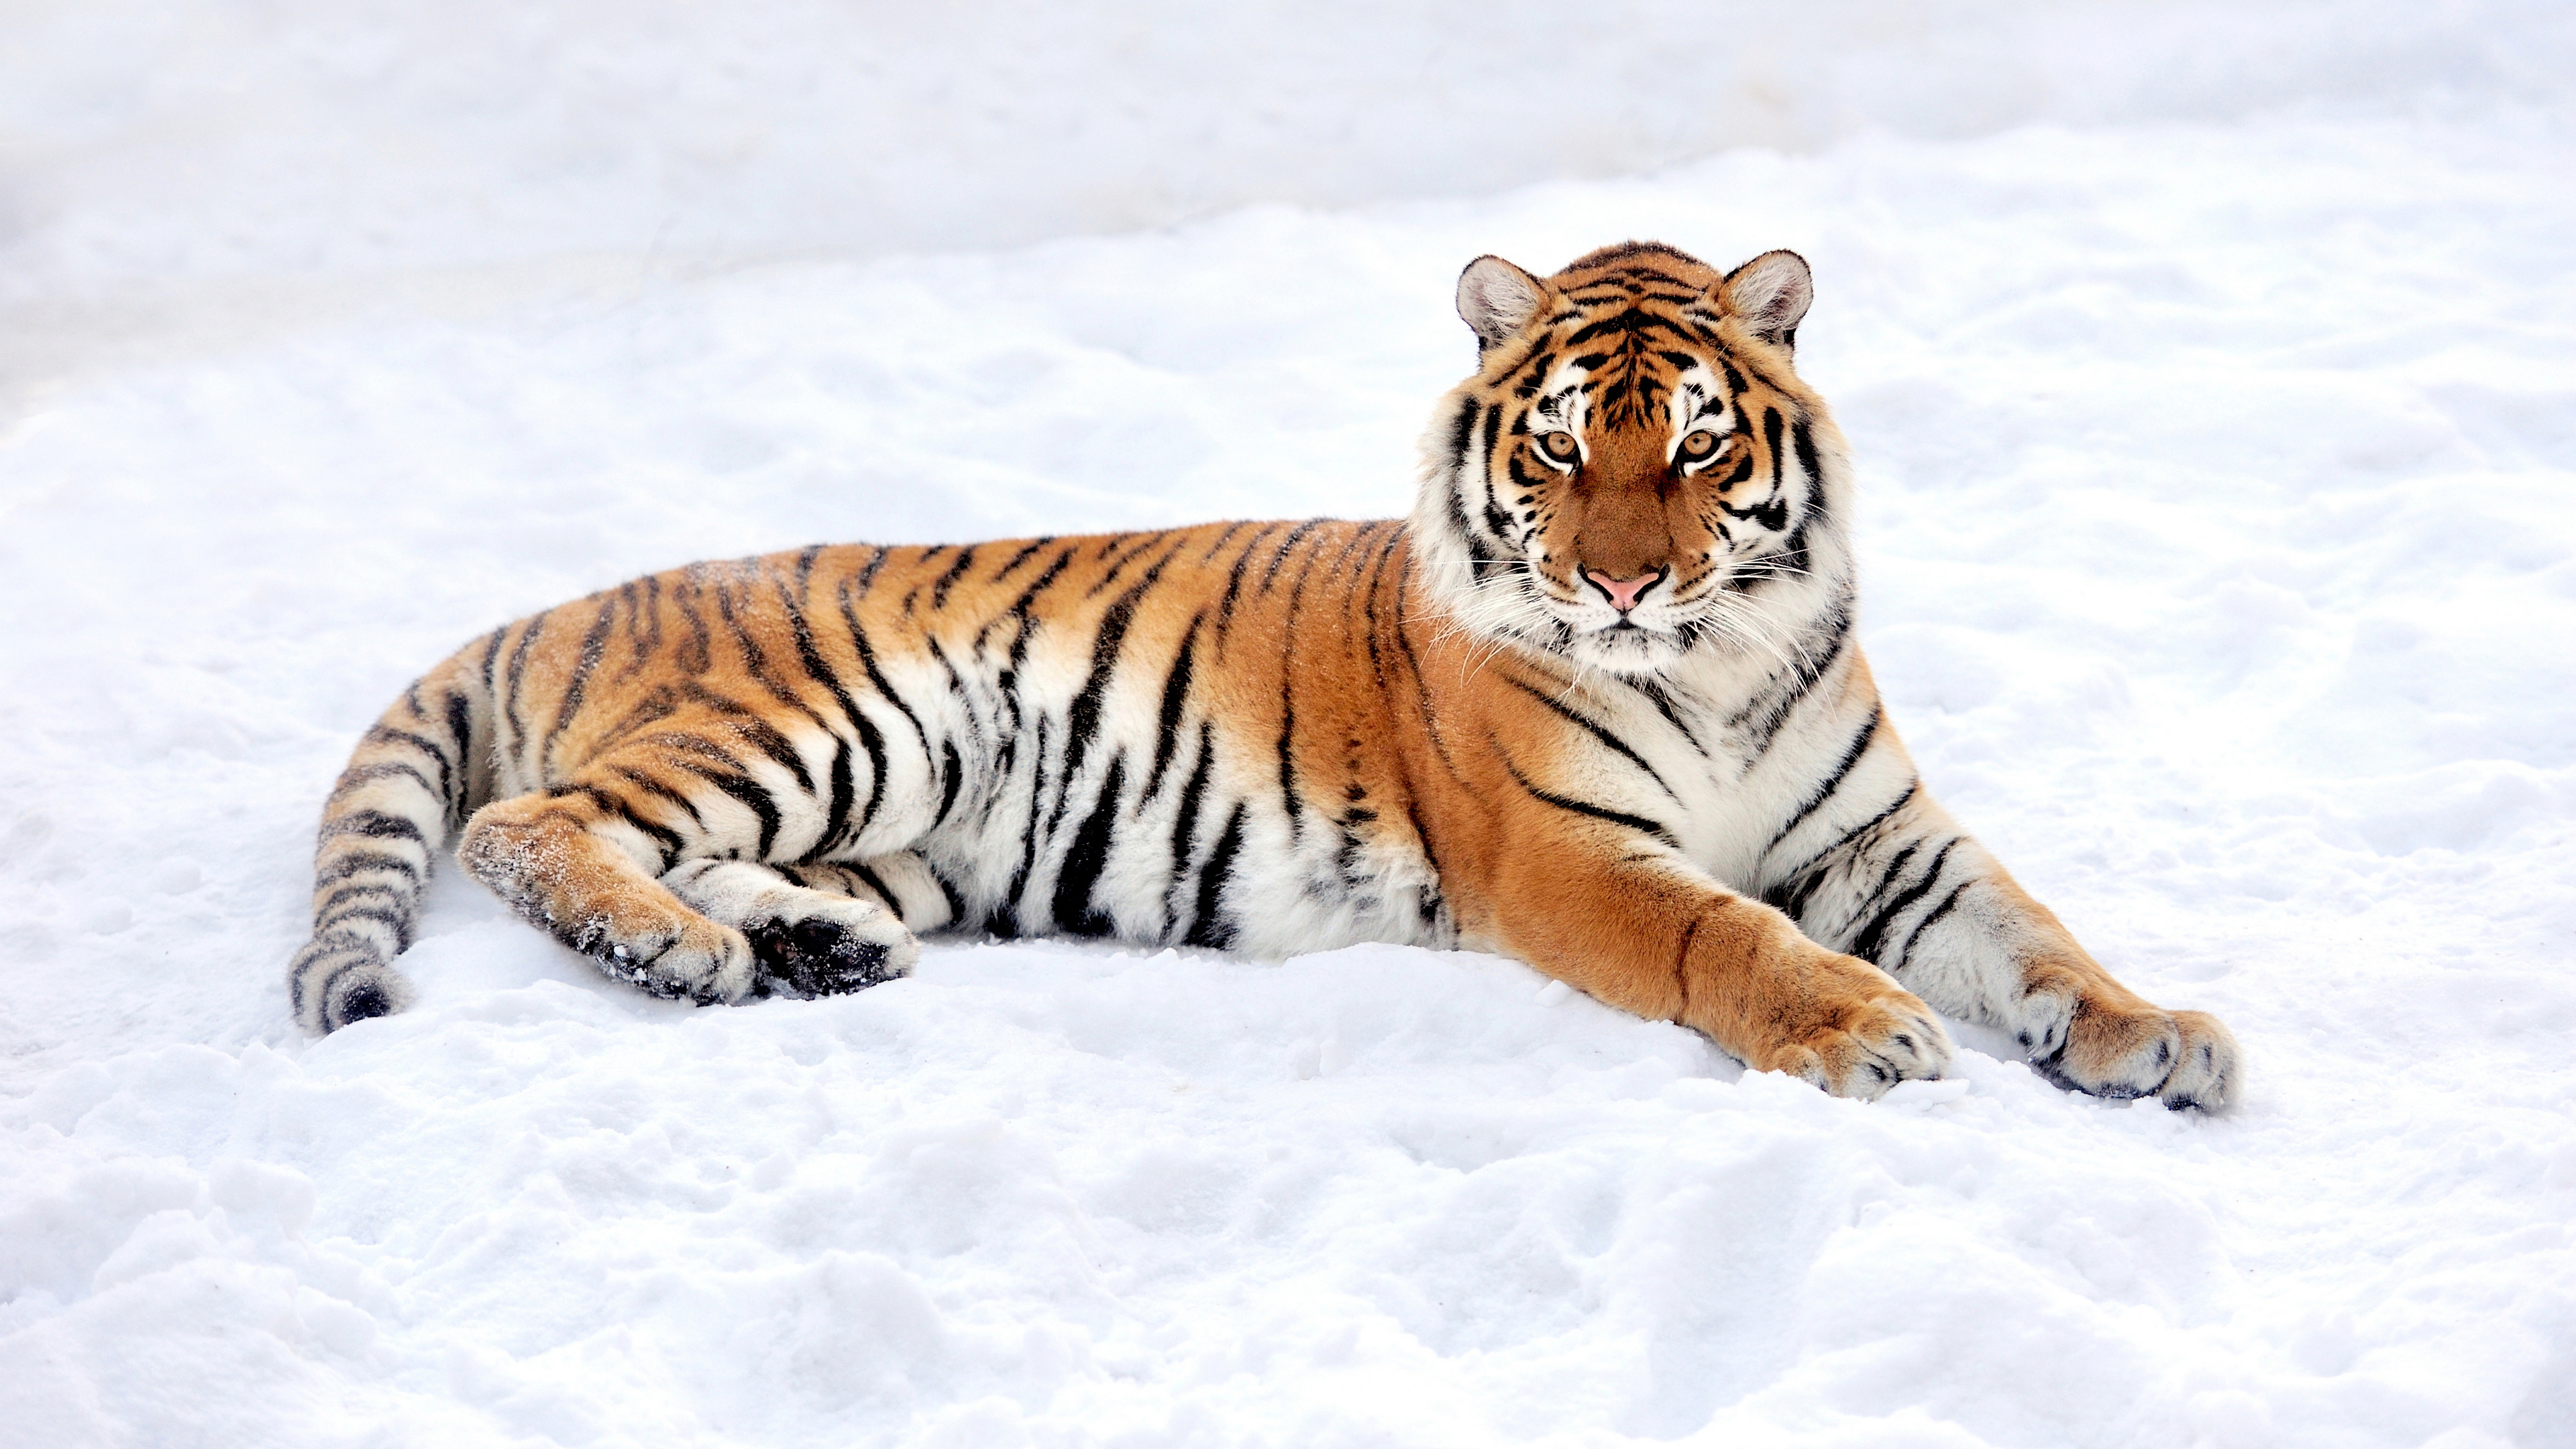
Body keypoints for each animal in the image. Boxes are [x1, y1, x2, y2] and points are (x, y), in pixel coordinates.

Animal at [292, 239, 2246, 1103]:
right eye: (1559, 449)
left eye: (1693, 447)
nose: (1618, 581)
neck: (1718, 659)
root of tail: (575, 599)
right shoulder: (1569, 852)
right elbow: (1728, 936)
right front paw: (1865, 1030)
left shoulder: (1881, 839)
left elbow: (2034, 934)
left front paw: (2152, 1034)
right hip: (831, 718)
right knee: (537, 831)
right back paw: (687, 954)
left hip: (887, 827)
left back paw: (807, 950)